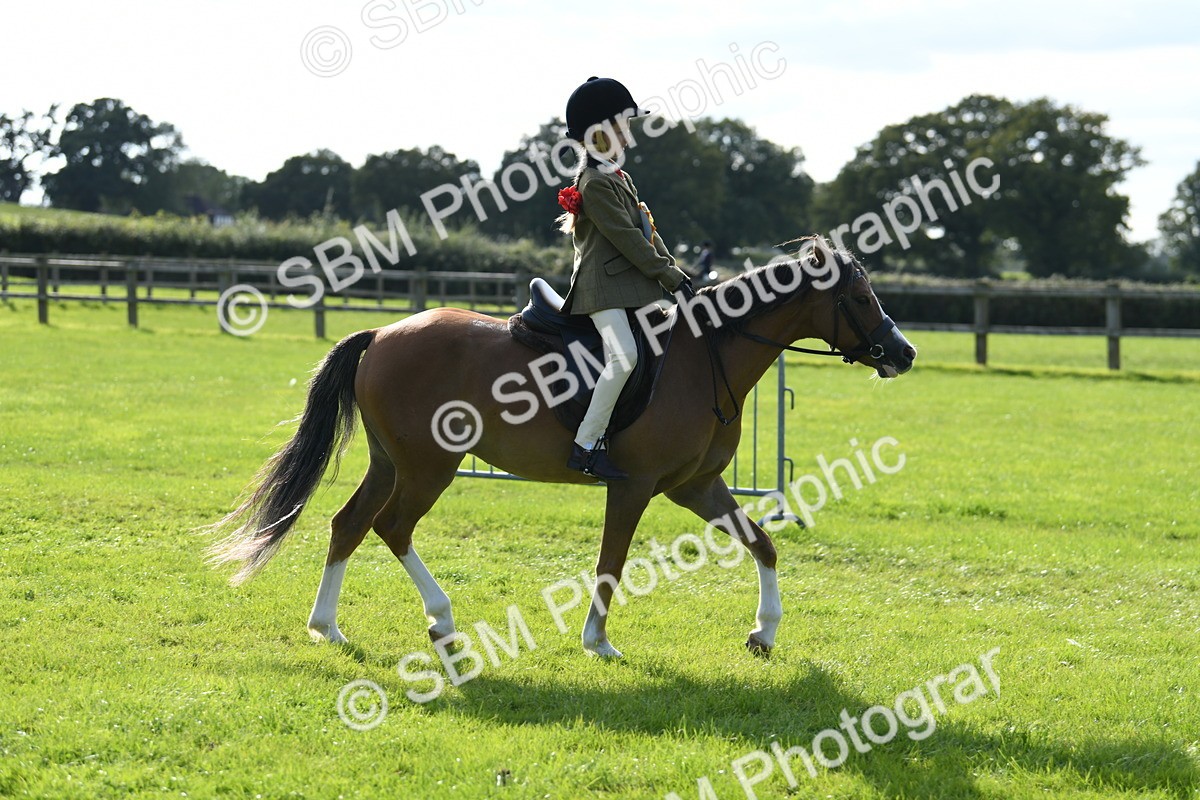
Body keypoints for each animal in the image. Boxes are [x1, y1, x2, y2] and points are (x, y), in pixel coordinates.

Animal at [208, 239, 916, 658]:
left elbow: (763, 543)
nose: (904, 353)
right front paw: (597, 642)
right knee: (392, 527)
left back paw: (327, 626)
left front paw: (763, 632)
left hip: (393, 463)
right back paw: (442, 621)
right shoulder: (635, 486)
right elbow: (611, 561)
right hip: (429, 466)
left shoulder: (697, 486)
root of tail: (383, 332)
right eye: (859, 297)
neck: (704, 355)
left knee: (349, 524)